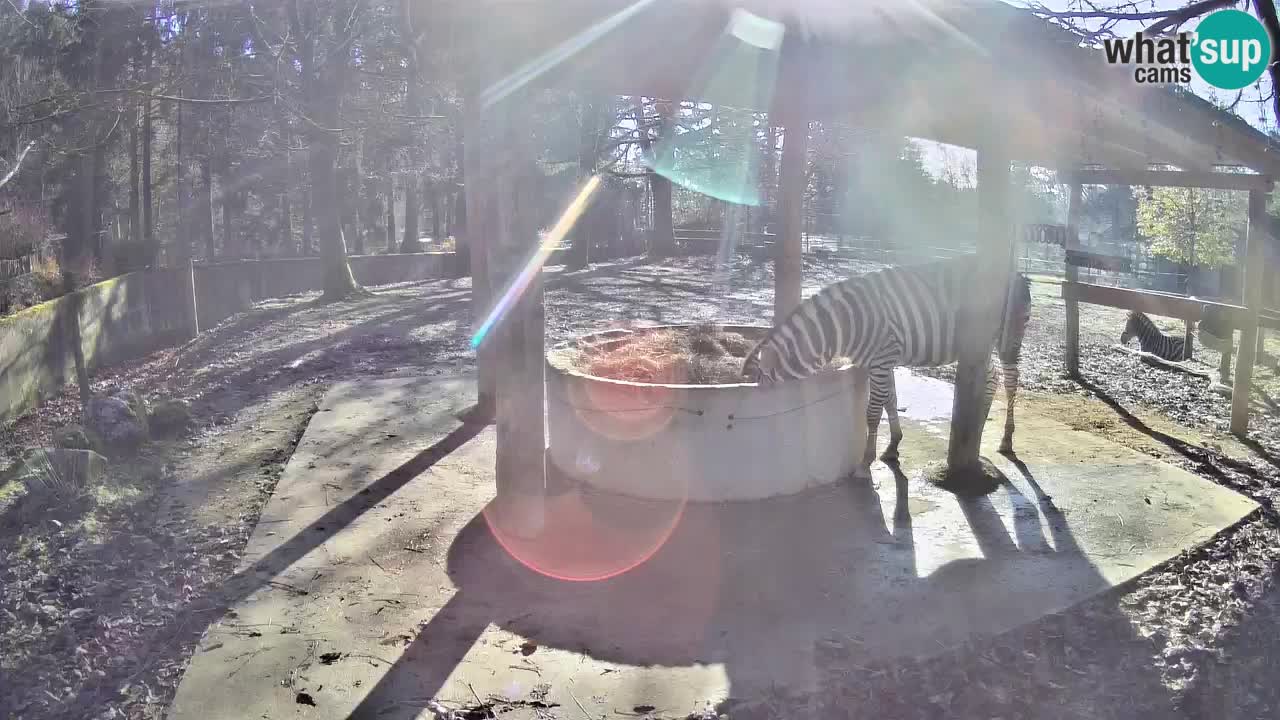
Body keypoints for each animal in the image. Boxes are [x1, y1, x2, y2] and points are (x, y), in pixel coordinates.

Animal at [742, 256, 1029, 476]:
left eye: (764, 389)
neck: (845, 325)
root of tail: (1016, 272)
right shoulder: (882, 361)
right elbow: (891, 401)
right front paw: (893, 447)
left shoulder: (881, 361)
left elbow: (872, 412)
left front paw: (864, 462)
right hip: (979, 346)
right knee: (991, 377)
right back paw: (978, 424)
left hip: (1008, 338)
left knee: (1011, 380)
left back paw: (1006, 439)